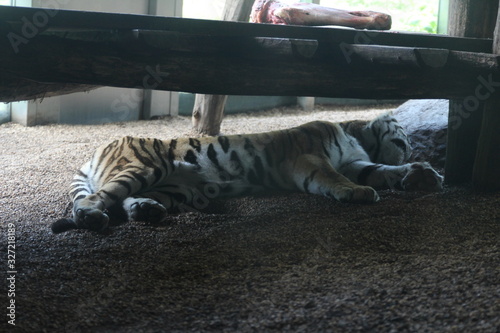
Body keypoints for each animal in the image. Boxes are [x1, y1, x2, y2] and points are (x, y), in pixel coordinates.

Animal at [50, 113, 442, 232]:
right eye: (403, 138)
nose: (413, 149)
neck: (356, 135)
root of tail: (98, 151)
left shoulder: (355, 162)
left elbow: (381, 170)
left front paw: (419, 174)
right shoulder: (311, 158)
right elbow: (334, 179)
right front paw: (357, 193)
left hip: (175, 189)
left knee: (127, 199)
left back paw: (145, 210)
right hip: (147, 165)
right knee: (97, 198)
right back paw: (91, 217)